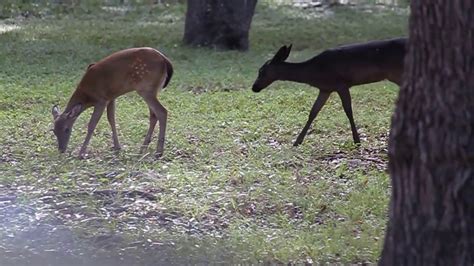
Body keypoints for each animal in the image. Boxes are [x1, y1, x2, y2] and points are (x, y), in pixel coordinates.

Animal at [252, 38, 408, 145]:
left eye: (261, 71)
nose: (254, 87)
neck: (314, 73)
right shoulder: (325, 89)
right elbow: (313, 112)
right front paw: (297, 141)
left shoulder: (341, 84)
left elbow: (348, 111)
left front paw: (357, 140)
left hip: (398, 73)